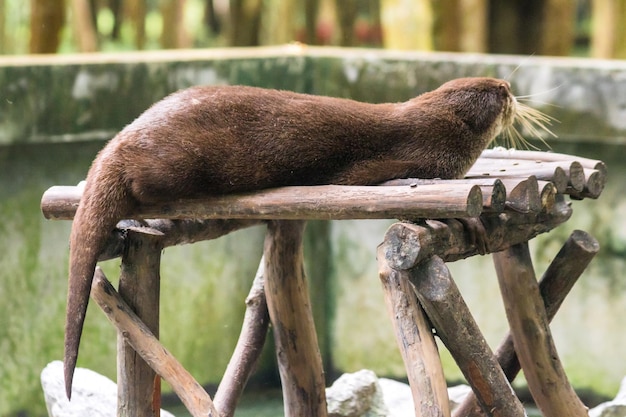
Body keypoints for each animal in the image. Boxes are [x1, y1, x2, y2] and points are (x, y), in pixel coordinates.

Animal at [62, 76, 540, 398]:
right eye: (498, 93)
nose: (510, 87)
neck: (439, 130)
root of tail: (119, 142)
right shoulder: (413, 160)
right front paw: (469, 220)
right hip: (176, 163)